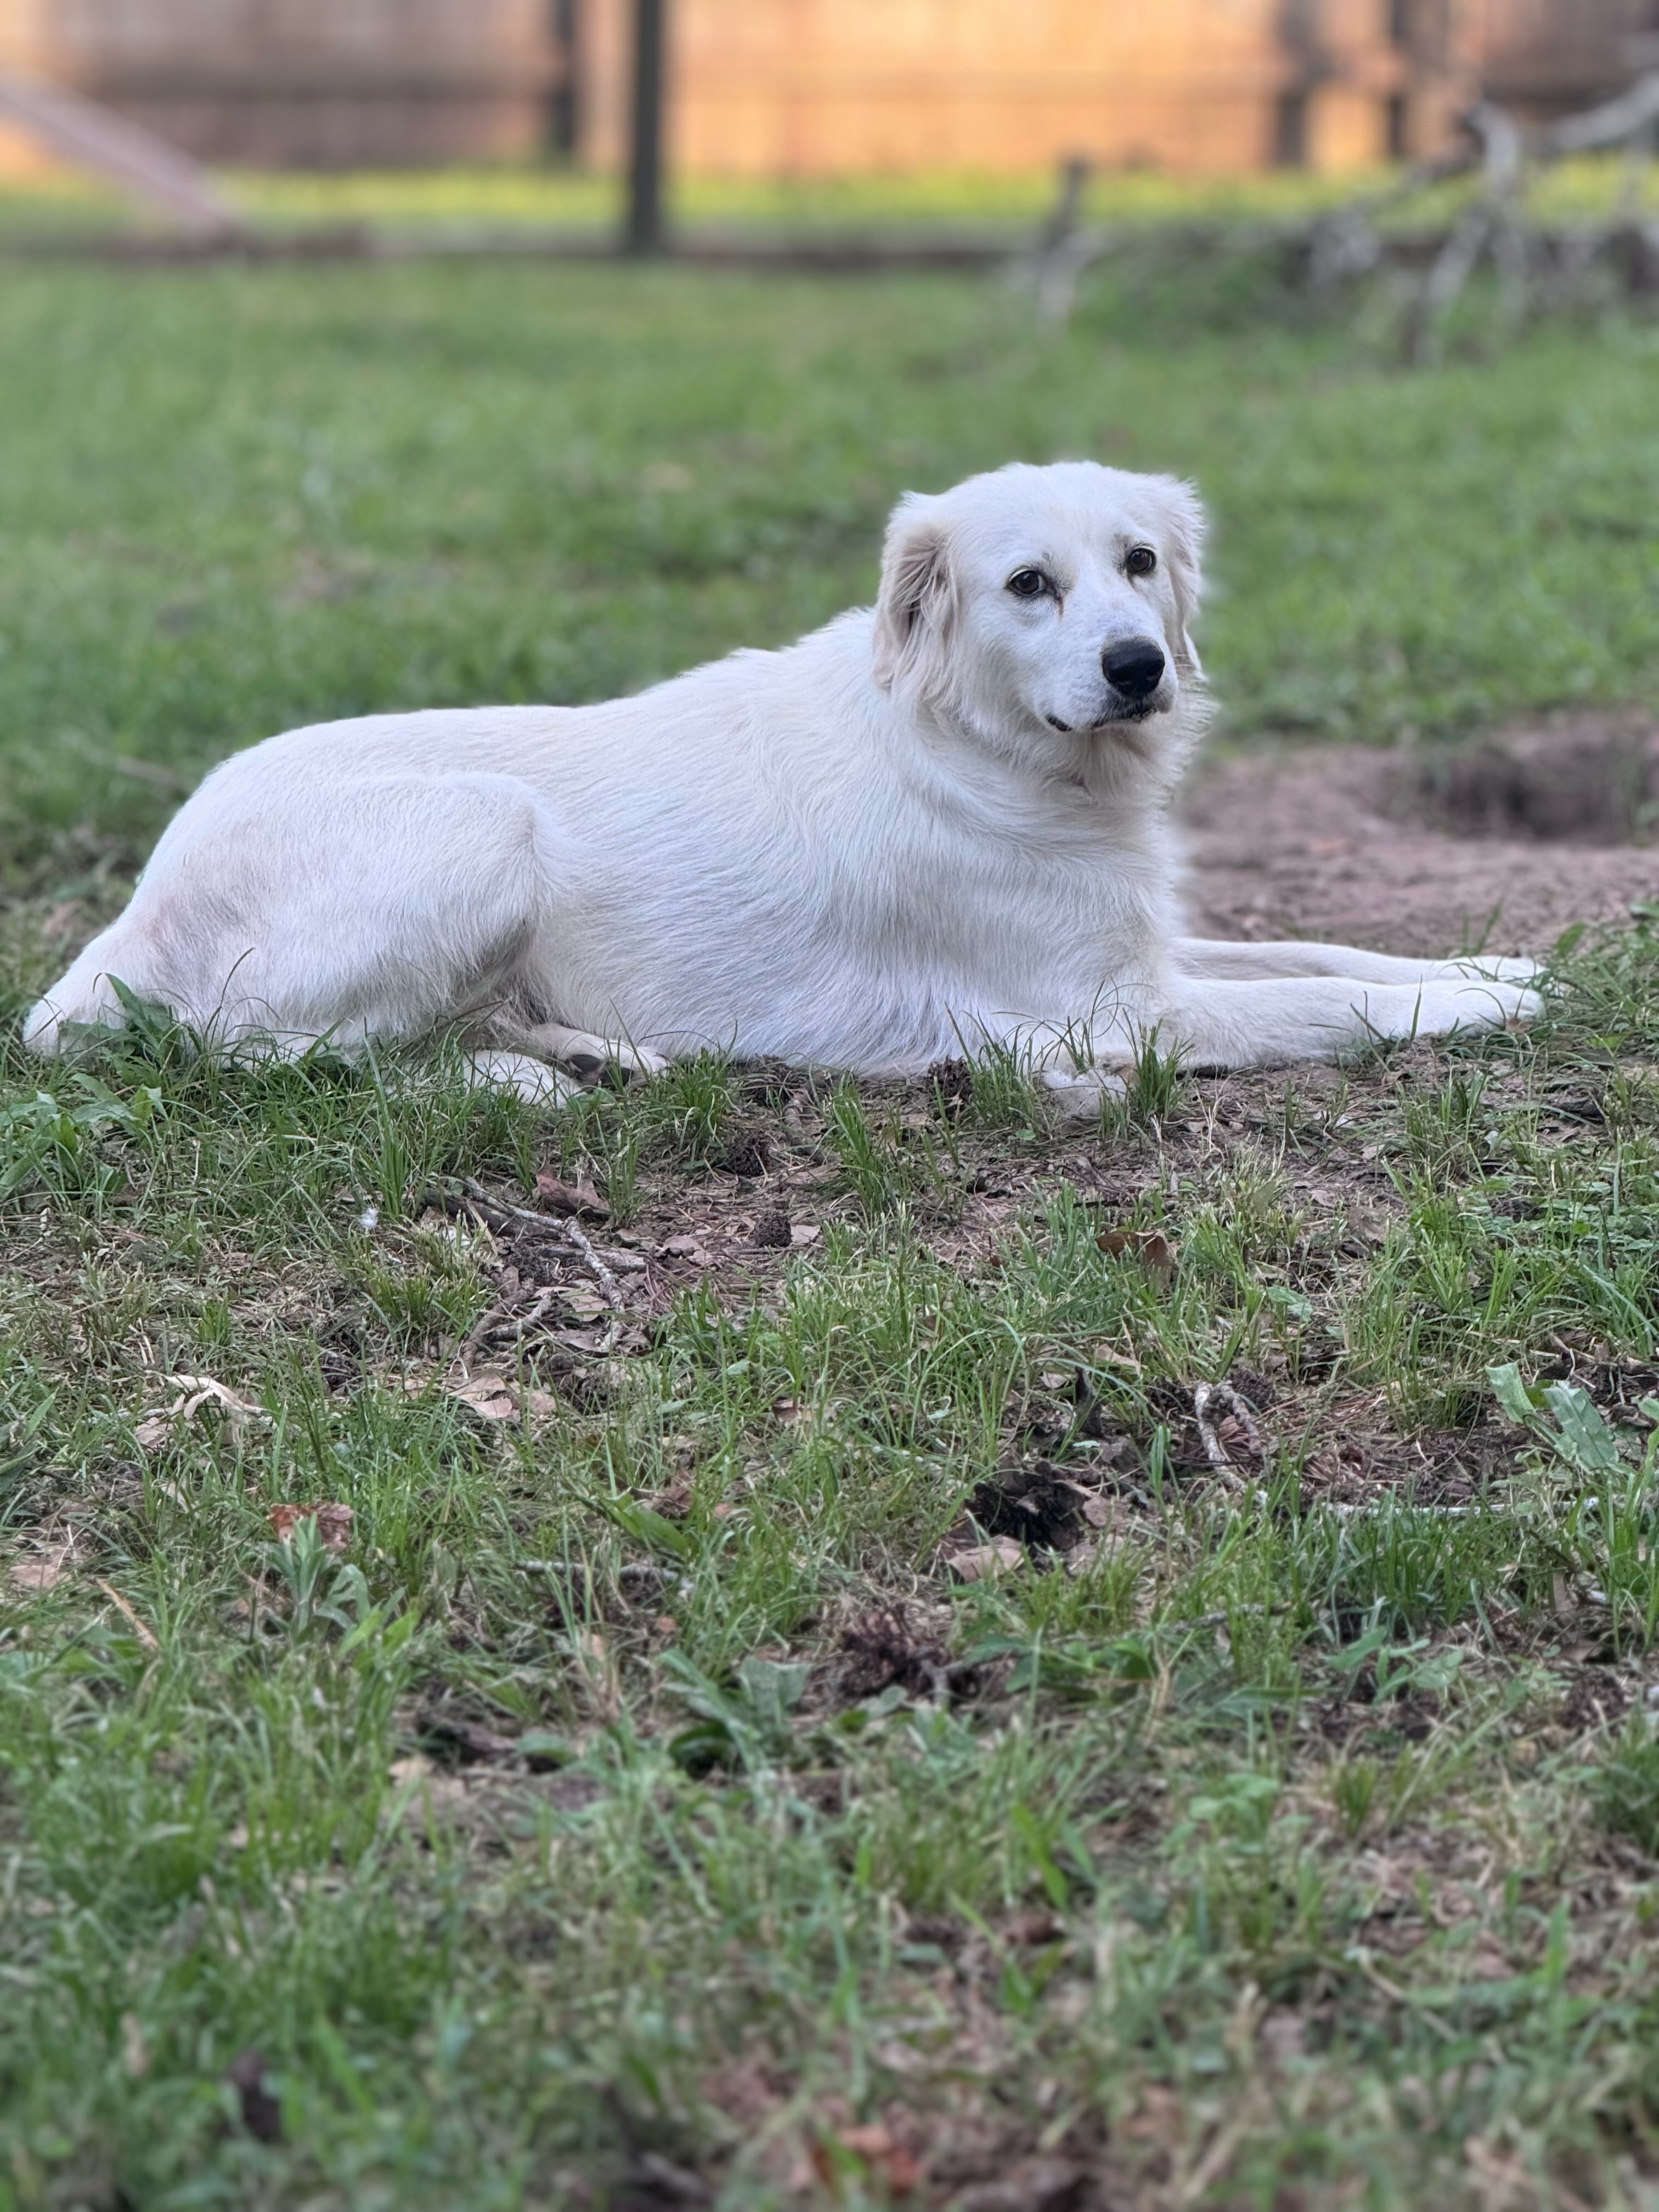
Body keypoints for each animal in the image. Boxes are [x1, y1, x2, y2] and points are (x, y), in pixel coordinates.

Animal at [26, 462, 1539, 1101]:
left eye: (1141, 562)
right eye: (1027, 584)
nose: (1135, 667)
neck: (986, 747)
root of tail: (130, 916)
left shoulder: (1146, 952)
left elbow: (1323, 947)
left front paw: (1497, 965)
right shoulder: (1109, 1012)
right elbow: (1324, 1003)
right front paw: (1475, 1009)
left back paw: (597, 1052)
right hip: (485, 827)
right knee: (285, 1058)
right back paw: (527, 1085)